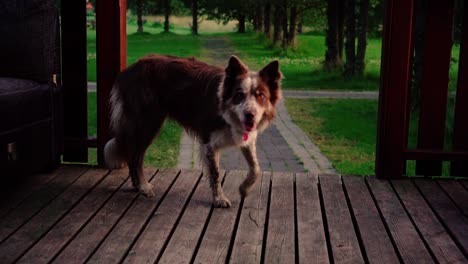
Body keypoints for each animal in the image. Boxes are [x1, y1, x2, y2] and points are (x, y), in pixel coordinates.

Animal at [105, 54, 282, 208]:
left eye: (260, 95)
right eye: (239, 95)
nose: (250, 114)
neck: (227, 111)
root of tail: (129, 69)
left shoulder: (247, 139)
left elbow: (256, 169)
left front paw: (243, 189)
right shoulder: (208, 143)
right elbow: (215, 173)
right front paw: (219, 199)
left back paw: (138, 186)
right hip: (148, 123)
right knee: (136, 157)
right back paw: (142, 187)